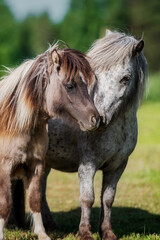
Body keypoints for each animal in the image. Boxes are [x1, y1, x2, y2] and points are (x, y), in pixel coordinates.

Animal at [0, 43, 100, 240]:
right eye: (70, 86)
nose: (95, 119)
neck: (15, 124)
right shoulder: (4, 168)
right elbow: (5, 204)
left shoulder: (36, 165)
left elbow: (35, 200)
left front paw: (42, 234)